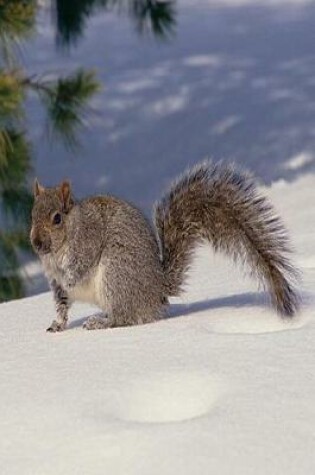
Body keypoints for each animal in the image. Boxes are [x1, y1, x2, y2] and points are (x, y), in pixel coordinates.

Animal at [30, 160, 302, 330]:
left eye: (57, 218)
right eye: (31, 215)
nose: (36, 243)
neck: (57, 251)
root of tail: (157, 289)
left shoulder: (89, 240)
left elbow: (81, 266)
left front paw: (72, 278)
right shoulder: (55, 284)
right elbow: (62, 305)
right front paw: (58, 324)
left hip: (116, 274)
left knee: (125, 317)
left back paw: (102, 322)